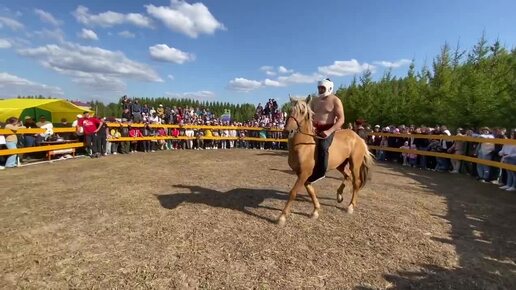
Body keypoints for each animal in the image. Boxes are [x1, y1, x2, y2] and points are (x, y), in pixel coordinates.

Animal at [278, 96, 374, 225]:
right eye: (289, 110)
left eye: (302, 112)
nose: (288, 131)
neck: (304, 145)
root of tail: (358, 138)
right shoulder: (302, 174)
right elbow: (311, 191)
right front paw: (315, 211)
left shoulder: (304, 173)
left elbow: (293, 192)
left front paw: (282, 217)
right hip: (341, 165)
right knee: (347, 175)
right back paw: (339, 195)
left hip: (355, 164)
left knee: (356, 182)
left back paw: (350, 206)